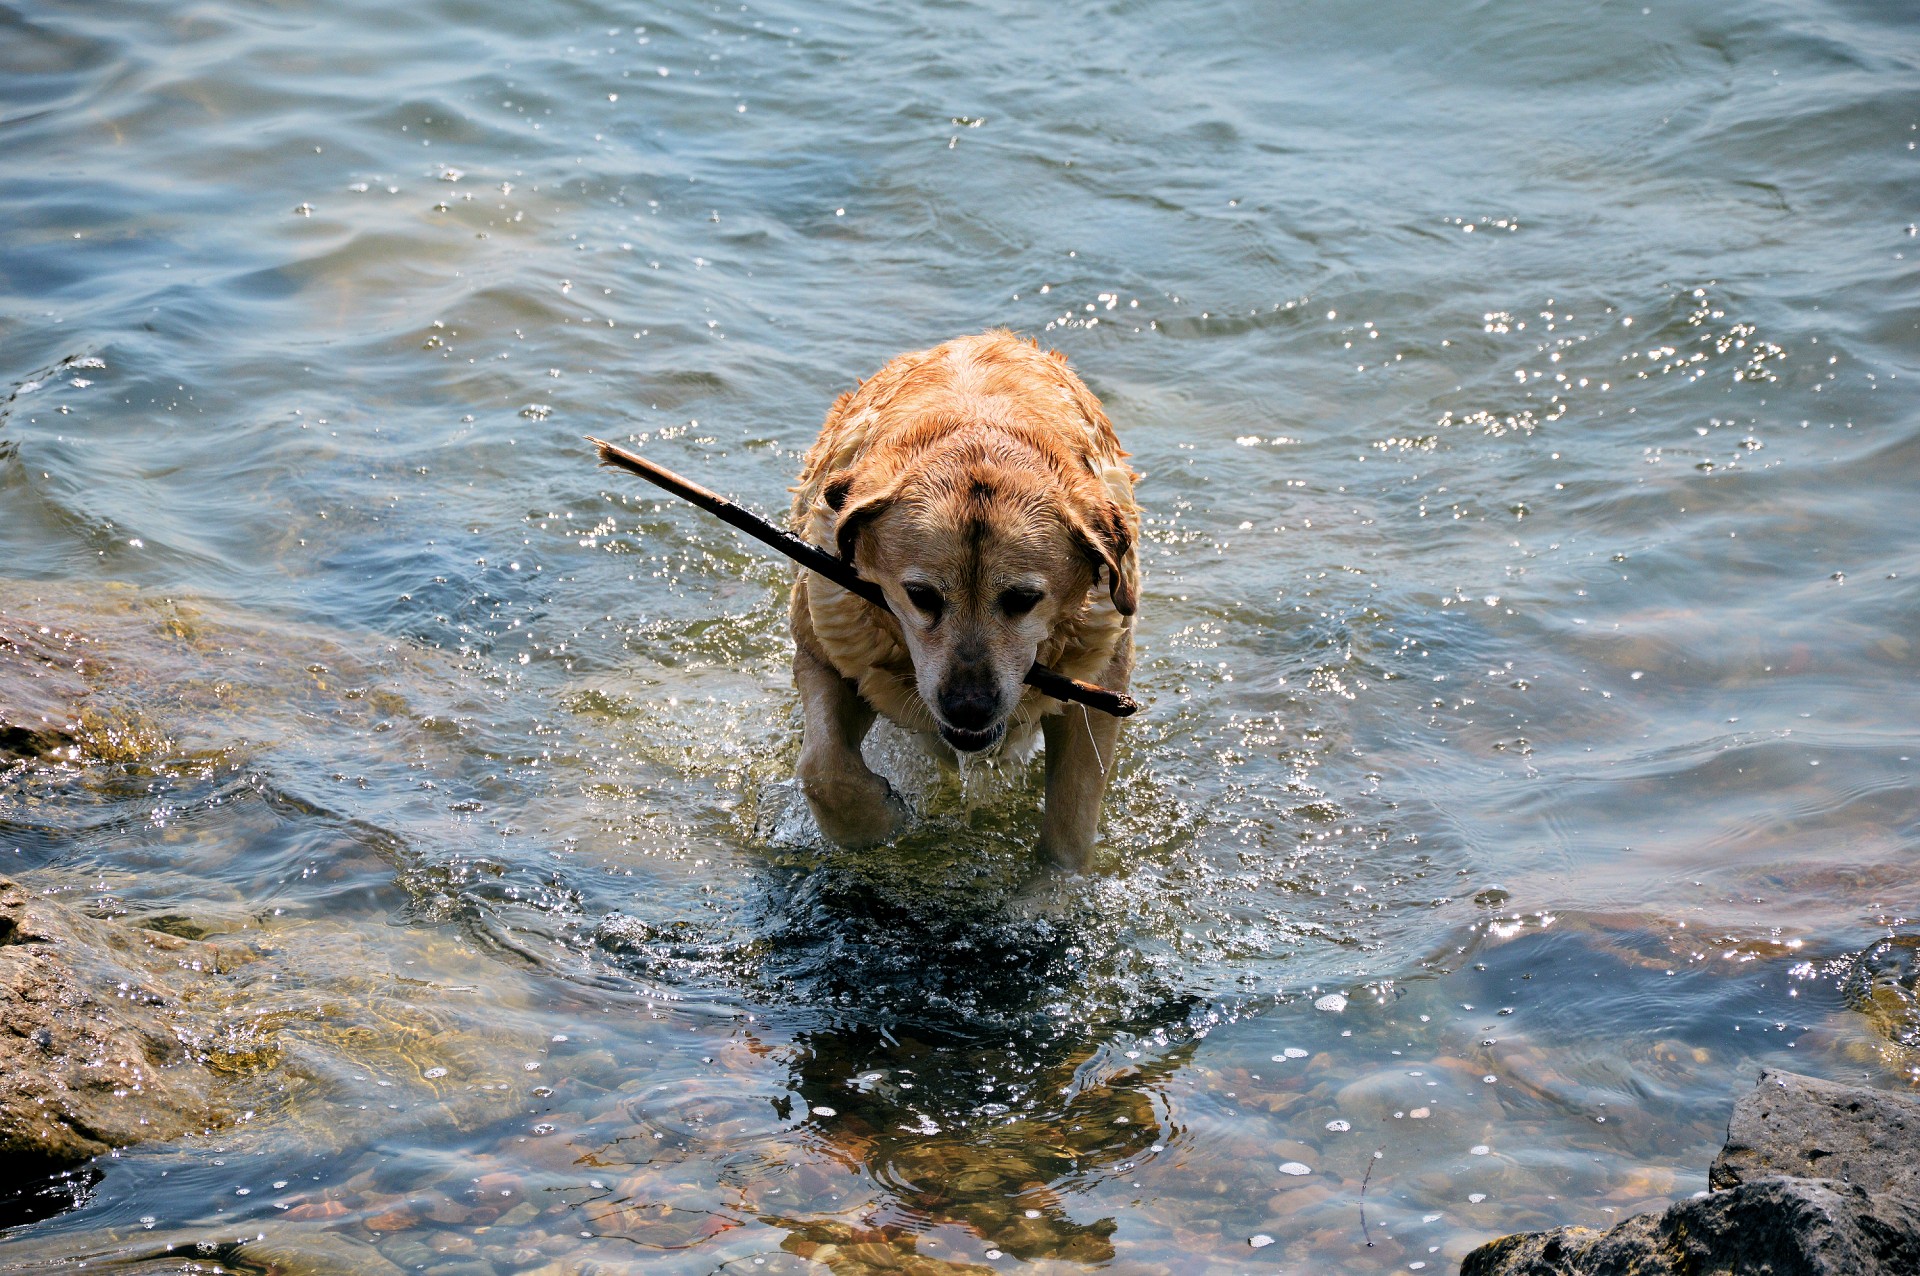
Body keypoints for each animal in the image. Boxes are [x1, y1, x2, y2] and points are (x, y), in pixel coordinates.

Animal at [791, 328, 1136, 871]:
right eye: (921, 595)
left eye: (1023, 598)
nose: (969, 708)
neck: (976, 422)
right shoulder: (826, 643)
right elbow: (825, 769)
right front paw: (878, 822)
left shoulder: (1098, 682)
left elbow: (1071, 821)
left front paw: (1052, 886)